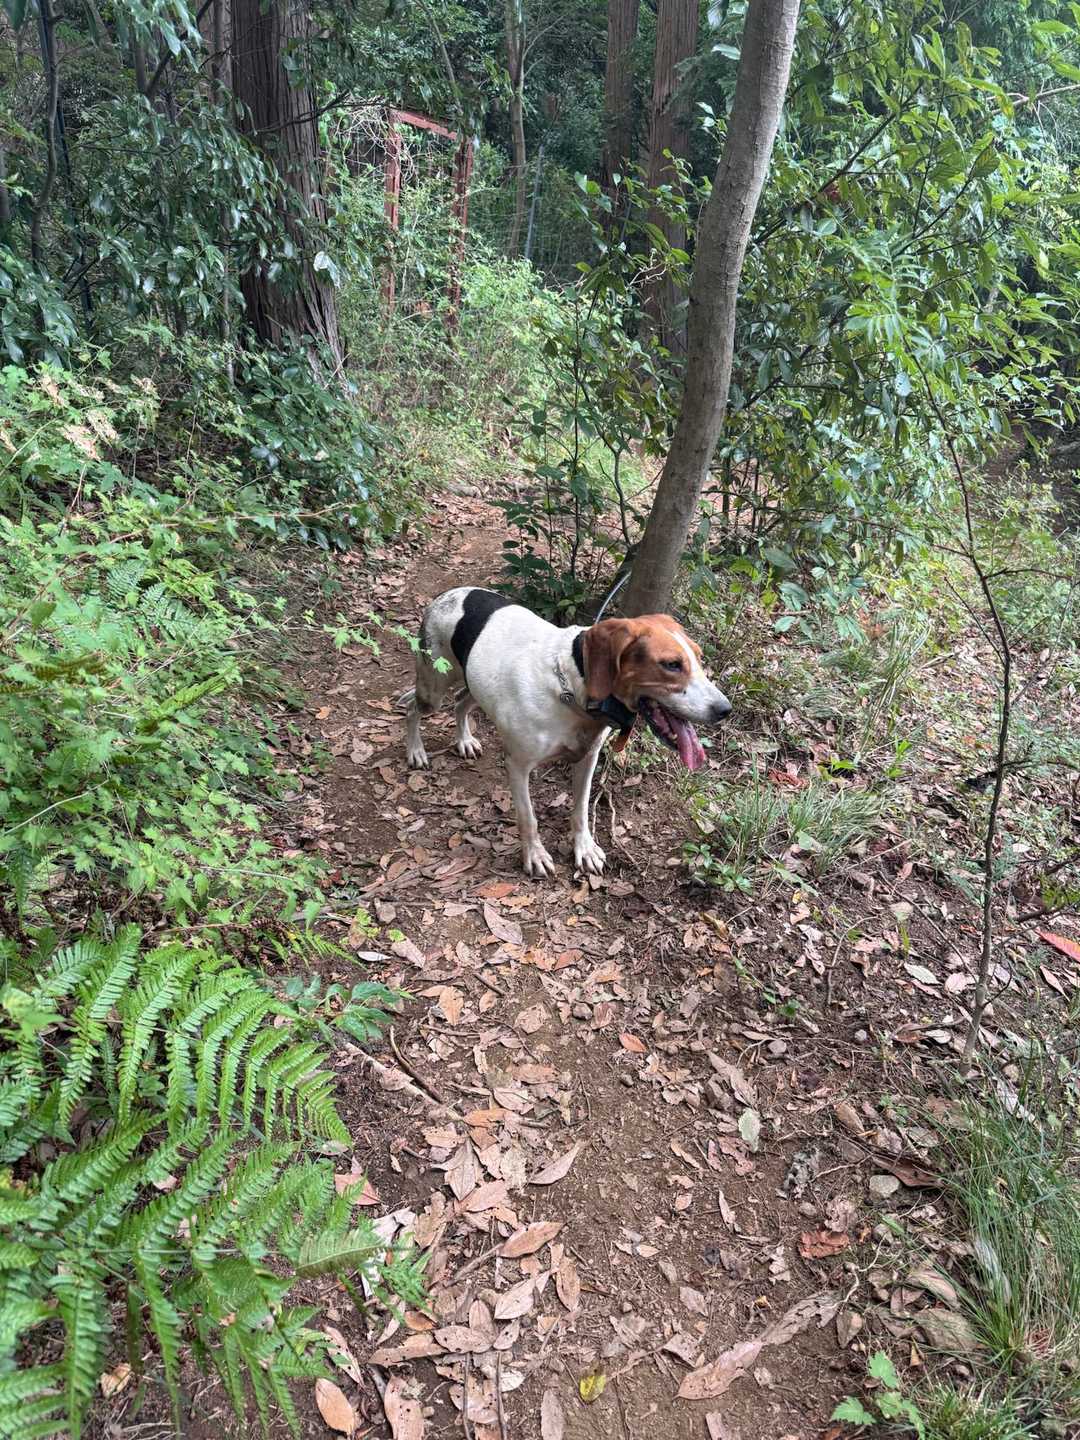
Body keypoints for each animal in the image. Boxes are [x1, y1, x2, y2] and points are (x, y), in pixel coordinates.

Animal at [403, 588, 731, 877]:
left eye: (699, 658)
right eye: (671, 665)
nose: (724, 709)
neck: (573, 689)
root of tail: (446, 595)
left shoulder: (588, 759)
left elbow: (581, 810)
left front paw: (584, 848)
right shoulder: (518, 765)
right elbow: (528, 818)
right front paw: (534, 855)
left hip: (472, 685)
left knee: (460, 703)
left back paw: (464, 739)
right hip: (434, 686)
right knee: (412, 710)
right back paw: (415, 750)